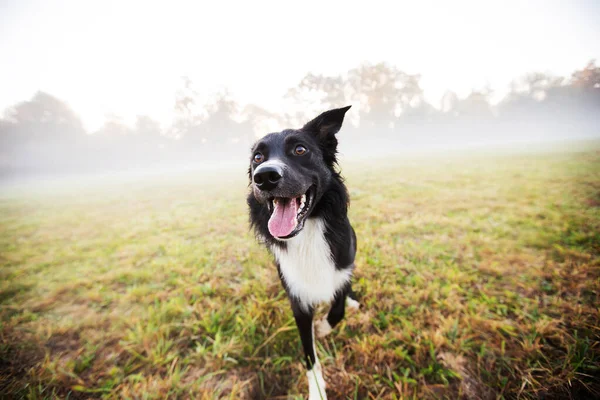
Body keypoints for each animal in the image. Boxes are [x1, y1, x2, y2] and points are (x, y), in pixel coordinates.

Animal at [247, 104, 358, 398]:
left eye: (300, 149)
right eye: (257, 157)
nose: (264, 177)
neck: (307, 232)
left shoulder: (343, 266)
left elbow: (337, 309)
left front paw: (322, 328)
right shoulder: (297, 298)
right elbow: (309, 354)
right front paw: (317, 390)